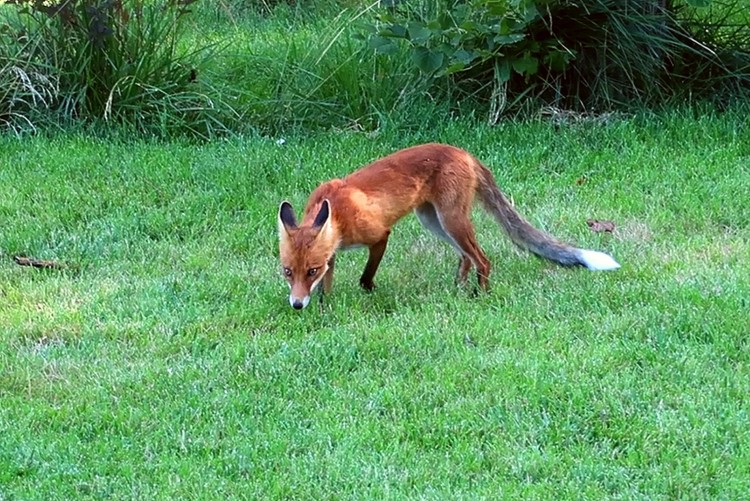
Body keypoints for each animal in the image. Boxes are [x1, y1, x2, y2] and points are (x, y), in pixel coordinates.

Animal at [280, 143, 620, 308]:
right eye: (288, 271)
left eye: (310, 270)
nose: (296, 305)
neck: (337, 210)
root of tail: (464, 152)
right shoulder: (332, 253)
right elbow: (328, 284)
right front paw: (324, 305)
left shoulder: (380, 236)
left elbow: (365, 277)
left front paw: (369, 293)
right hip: (434, 222)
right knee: (465, 257)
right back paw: (458, 288)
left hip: (451, 220)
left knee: (482, 259)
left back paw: (480, 295)